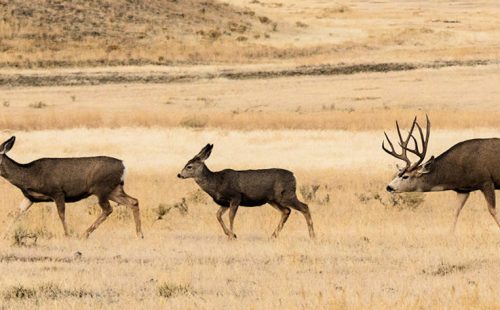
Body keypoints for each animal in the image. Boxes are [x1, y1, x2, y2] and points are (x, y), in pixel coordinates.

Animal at [0, 135, 143, 237]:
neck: (30, 176)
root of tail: (123, 165)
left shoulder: (58, 192)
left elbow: (61, 214)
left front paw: (67, 235)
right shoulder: (30, 198)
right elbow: (17, 213)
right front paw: (4, 235)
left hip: (101, 188)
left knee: (108, 209)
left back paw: (84, 234)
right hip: (114, 189)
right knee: (133, 201)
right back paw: (139, 234)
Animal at [178, 144, 314, 239]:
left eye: (189, 166)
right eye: (186, 164)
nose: (179, 175)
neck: (216, 183)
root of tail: (294, 176)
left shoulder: (235, 197)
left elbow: (231, 216)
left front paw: (232, 235)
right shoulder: (225, 203)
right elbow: (218, 215)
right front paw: (231, 234)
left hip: (286, 195)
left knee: (305, 207)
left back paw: (312, 235)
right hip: (272, 200)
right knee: (286, 211)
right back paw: (273, 235)